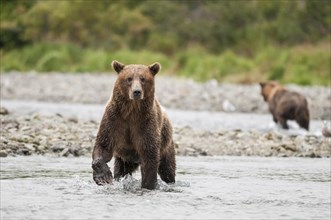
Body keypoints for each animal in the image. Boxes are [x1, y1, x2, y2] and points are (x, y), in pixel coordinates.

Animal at [91, 59, 176, 189]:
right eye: (129, 78)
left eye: (143, 79)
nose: (137, 92)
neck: (131, 111)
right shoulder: (114, 119)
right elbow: (103, 145)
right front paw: (103, 177)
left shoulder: (145, 123)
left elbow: (149, 156)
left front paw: (148, 185)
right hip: (123, 159)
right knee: (120, 170)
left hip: (166, 145)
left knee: (167, 169)